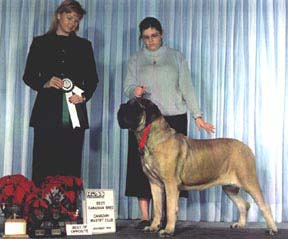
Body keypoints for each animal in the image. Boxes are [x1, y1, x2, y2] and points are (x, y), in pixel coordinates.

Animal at [118, 97, 278, 237]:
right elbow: (157, 208)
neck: (151, 137)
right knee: (244, 204)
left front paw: (168, 231)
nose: (120, 107)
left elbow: (170, 208)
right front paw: (153, 227)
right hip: (229, 187)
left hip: (248, 180)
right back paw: (240, 224)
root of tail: (247, 148)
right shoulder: (155, 184)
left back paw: (272, 228)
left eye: (135, 106)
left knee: (264, 205)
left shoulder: (170, 183)